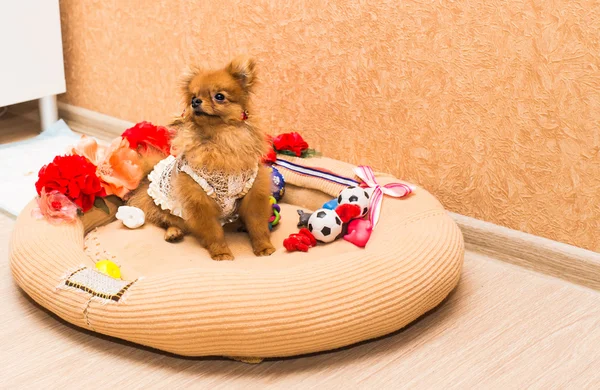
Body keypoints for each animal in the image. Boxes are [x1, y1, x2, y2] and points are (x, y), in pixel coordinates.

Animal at [130, 56, 276, 260]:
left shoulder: (253, 193)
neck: (220, 140)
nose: (196, 101)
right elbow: (213, 231)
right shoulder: (199, 201)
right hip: (164, 206)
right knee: (167, 220)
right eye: (193, 97)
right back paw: (173, 232)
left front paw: (263, 247)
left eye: (219, 96)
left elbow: (257, 225)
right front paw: (221, 252)